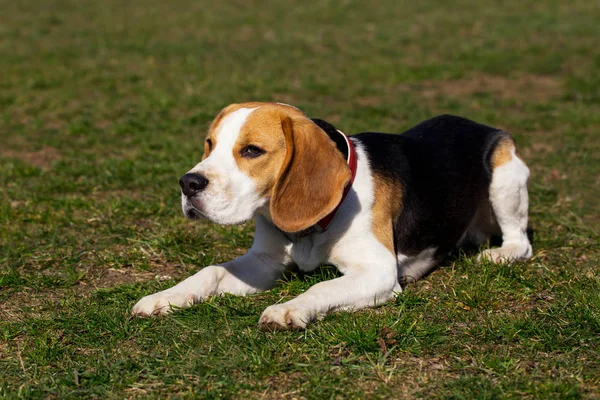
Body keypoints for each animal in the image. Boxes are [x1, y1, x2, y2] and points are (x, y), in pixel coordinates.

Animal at [130, 101, 528, 330]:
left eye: (252, 150)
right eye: (210, 145)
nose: (188, 183)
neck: (311, 230)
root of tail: (482, 125)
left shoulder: (378, 272)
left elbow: (322, 286)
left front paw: (288, 309)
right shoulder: (264, 261)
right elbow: (210, 271)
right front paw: (164, 297)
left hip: (504, 175)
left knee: (521, 242)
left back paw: (499, 254)